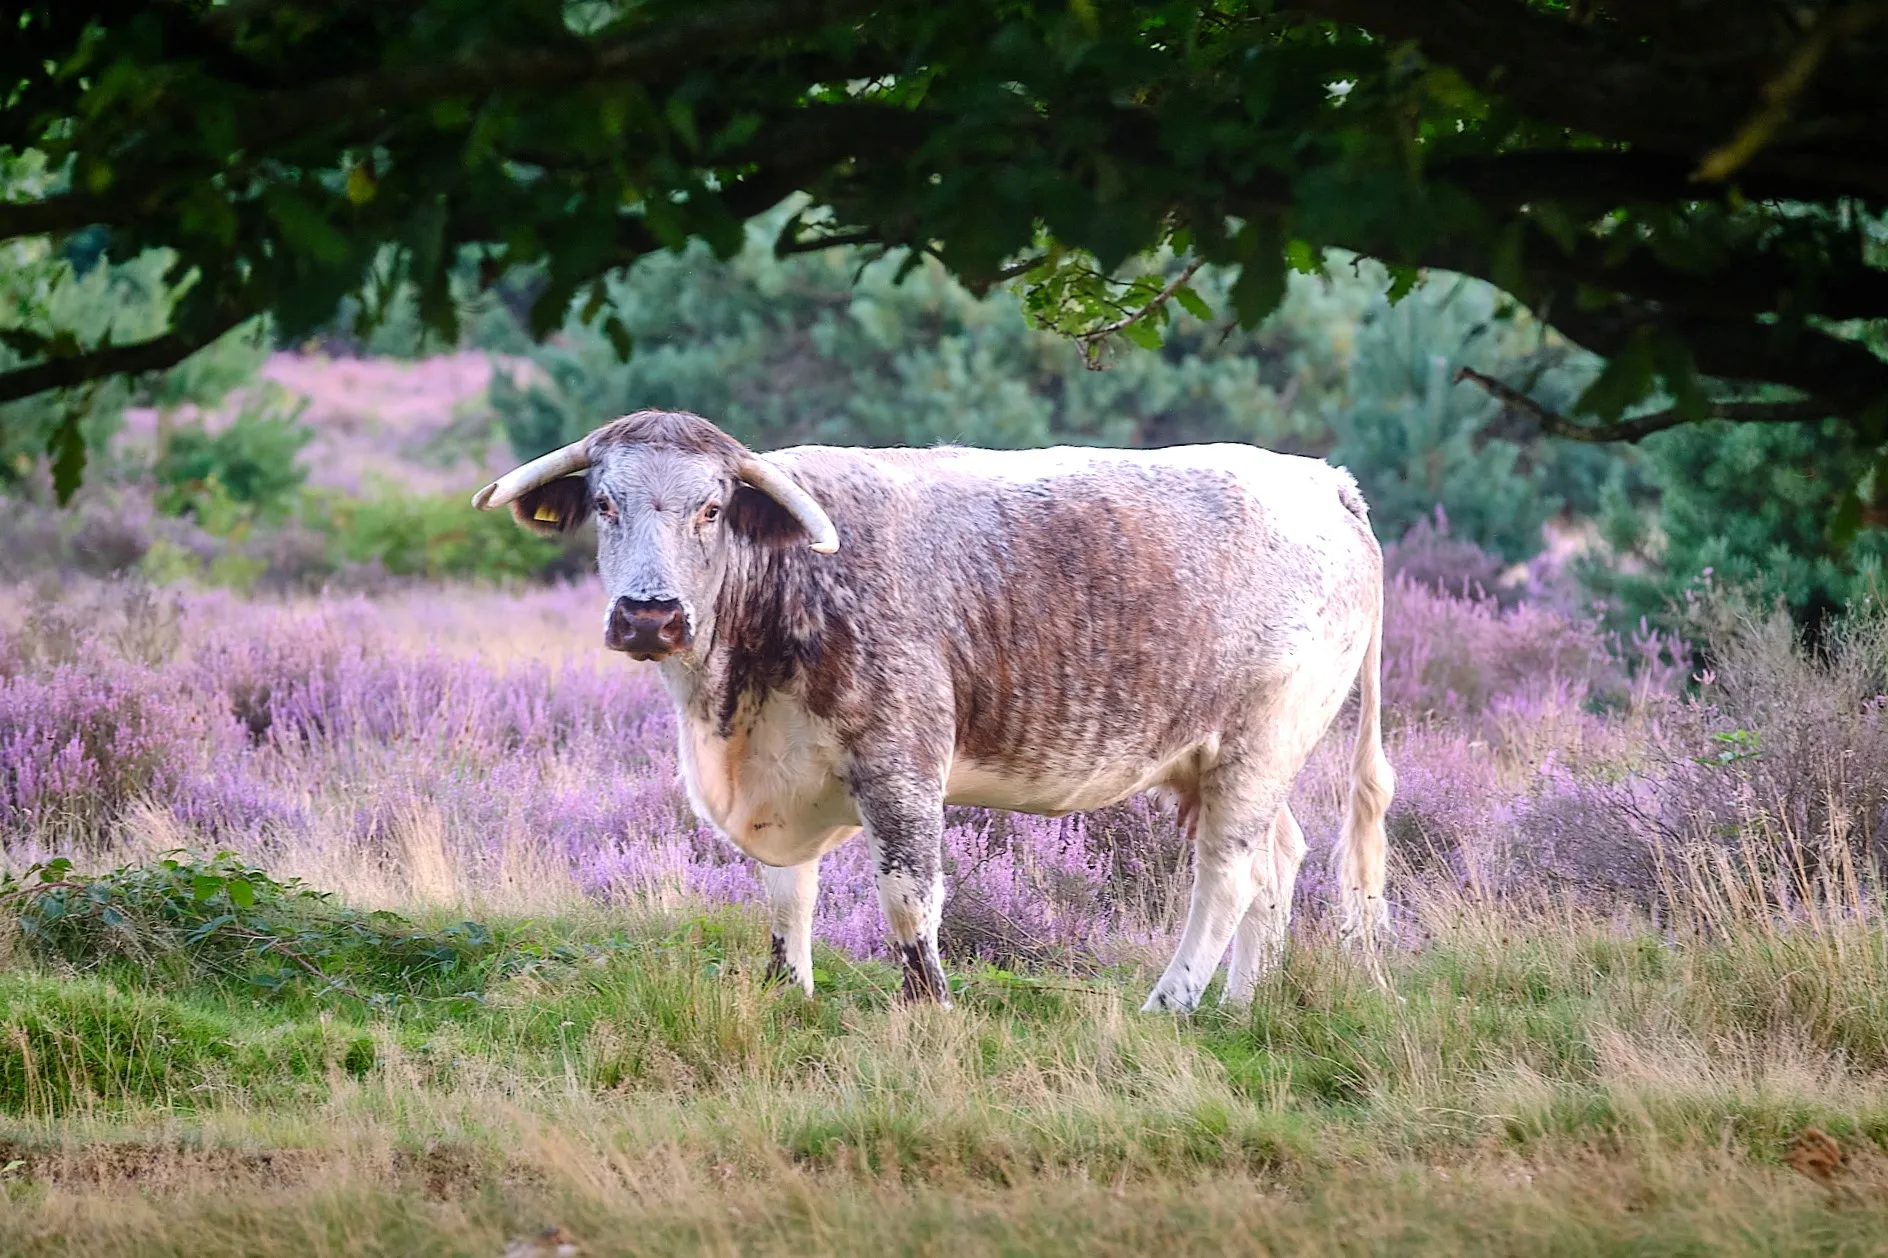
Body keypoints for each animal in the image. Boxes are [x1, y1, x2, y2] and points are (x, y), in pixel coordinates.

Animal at [472, 410, 1393, 1012]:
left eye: (711, 508)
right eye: (604, 504)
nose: (650, 615)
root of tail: (1322, 480)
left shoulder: (902, 763)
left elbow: (909, 896)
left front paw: (931, 1005)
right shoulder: (781, 776)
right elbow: (785, 894)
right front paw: (788, 993)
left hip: (1262, 741)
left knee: (1228, 875)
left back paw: (1169, 1005)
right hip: (1223, 760)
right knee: (1278, 860)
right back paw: (1239, 1006)